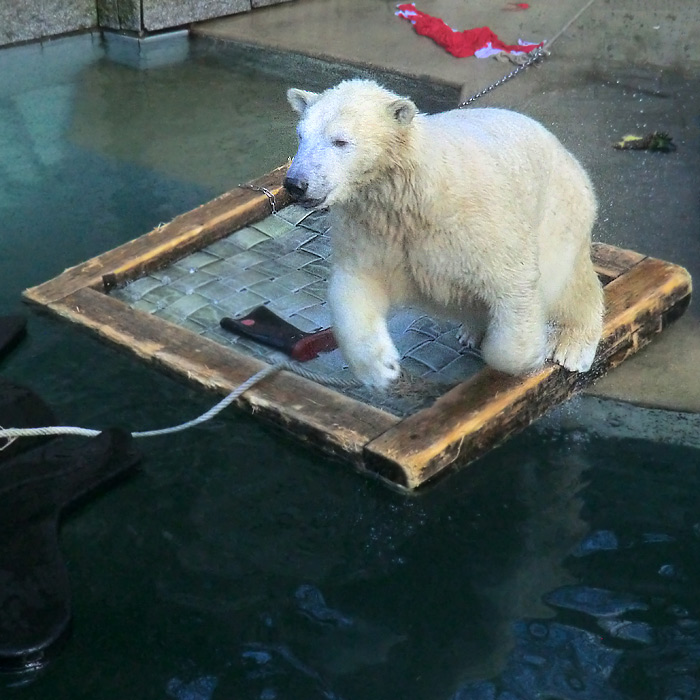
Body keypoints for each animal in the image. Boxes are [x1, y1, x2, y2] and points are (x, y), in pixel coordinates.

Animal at [284, 80, 608, 394]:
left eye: (340, 141)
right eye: (301, 135)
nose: (295, 184)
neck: (412, 193)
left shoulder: (475, 226)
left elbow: (513, 284)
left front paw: (528, 354)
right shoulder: (371, 229)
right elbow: (354, 284)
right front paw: (381, 369)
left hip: (558, 207)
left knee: (565, 280)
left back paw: (571, 347)